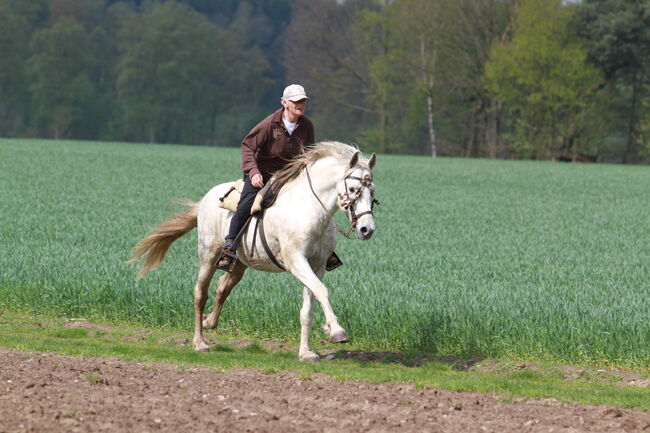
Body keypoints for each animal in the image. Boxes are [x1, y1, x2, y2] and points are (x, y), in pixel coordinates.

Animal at [127, 142, 378, 362]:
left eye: (372, 192)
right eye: (353, 189)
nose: (367, 230)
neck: (310, 210)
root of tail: (205, 199)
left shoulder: (316, 266)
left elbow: (308, 307)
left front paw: (306, 353)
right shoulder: (296, 262)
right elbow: (322, 291)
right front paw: (336, 331)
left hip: (238, 263)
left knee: (222, 288)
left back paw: (209, 322)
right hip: (208, 257)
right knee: (201, 294)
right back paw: (199, 342)